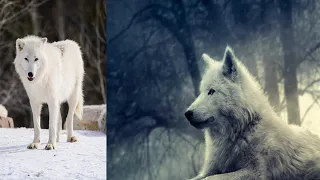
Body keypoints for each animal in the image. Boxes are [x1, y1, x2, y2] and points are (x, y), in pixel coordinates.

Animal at [185, 46, 320, 180]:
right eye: (201, 92)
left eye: (212, 91)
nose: (187, 114)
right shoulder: (208, 170)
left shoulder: (255, 171)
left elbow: (214, 178)